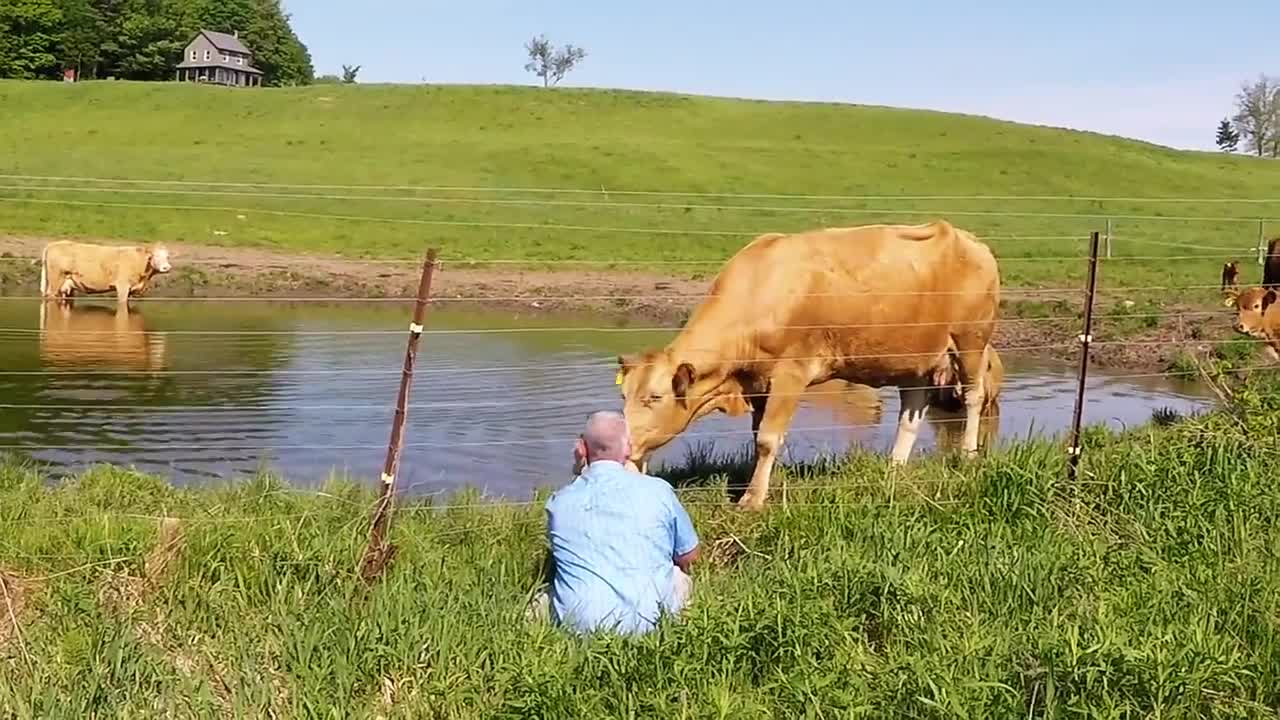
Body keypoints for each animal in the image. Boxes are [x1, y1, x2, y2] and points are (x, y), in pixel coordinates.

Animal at [611, 221, 998, 507]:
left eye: (654, 397)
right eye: (624, 396)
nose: (625, 445)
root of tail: (968, 240)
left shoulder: (790, 374)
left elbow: (768, 438)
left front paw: (752, 500)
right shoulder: (758, 383)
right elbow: (760, 436)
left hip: (970, 341)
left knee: (973, 397)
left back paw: (968, 454)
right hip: (914, 360)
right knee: (911, 414)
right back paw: (894, 468)